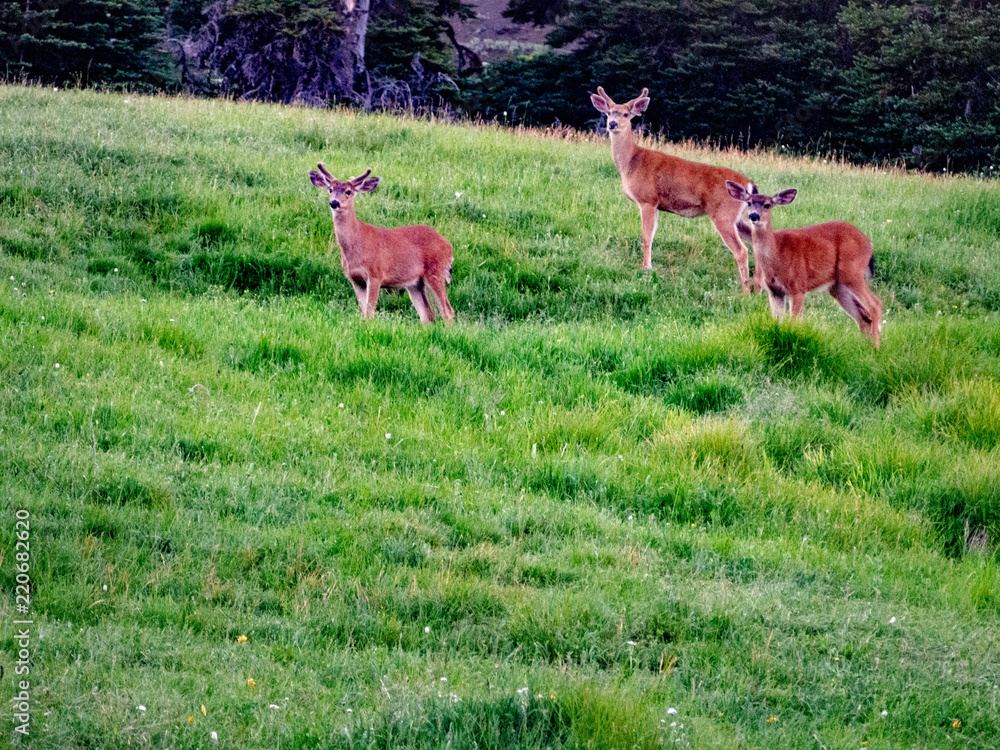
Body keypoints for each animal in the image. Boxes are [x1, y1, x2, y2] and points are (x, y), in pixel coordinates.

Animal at [309, 164, 455, 324]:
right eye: (330, 189)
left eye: (348, 191)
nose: (334, 203)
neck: (357, 242)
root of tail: (449, 245)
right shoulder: (354, 279)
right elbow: (363, 312)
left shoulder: (375, 274)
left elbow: (369, 312)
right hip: (415, 283)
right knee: (427, 315)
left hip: (436, 270)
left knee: (447, 311)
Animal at [590, 86, 759, 292]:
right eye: (608, 112)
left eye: (626, 114)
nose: (612, 124)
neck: (631, 162)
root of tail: (748, 184)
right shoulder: (655, 204)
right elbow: (652, 234)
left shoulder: (647, 199)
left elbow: (646, 236)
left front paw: (646, 267)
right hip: (738, 217)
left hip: (723, 214)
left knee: (742, 250)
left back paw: (746, 291)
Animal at [725, 181, 882, 347]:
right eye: (748, 202)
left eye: (767, 205)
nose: (754, 216)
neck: (778, 254)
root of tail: (868, 244)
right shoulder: (774, 291)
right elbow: (777, 323)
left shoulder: (798, 287)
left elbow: (794, 323)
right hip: (837, 285)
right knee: (863, 316)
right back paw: (866, 348)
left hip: (852, 271)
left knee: (875, 304)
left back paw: (877, 348)